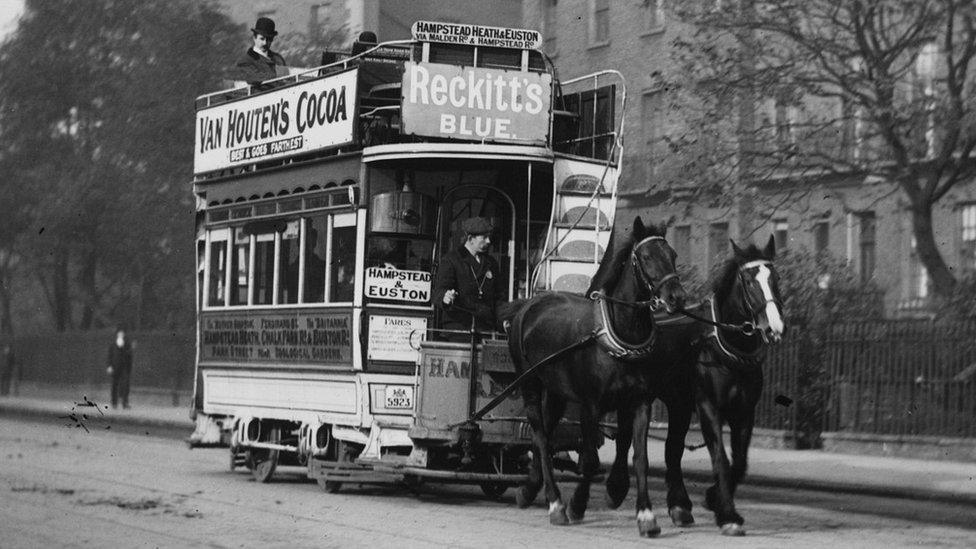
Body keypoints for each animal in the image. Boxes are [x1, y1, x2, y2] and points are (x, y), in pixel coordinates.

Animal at [504, 216, 688, 532]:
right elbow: (589, 461)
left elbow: (640, 458)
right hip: (530, 383)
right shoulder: (591, 406)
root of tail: (528, 305)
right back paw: (555, 502)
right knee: (540, 435)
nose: (675, 297)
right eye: (646, 256)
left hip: (556, 392)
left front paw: (646, 515)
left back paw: (530, 488)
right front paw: (577, 504)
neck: (621, 334)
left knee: (546, 438)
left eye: (673, 255)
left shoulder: (639, 403)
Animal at [612, 237, 788, 536]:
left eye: (775, 278)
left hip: (679, 403)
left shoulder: (745, 411)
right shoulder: (708, 406)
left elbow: (740, 462)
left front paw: (714, 499)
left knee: (672, 449)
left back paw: (679, 505)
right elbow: (721, 458)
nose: (773, 327)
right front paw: (728, 515)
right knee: (625, 438)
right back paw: (617, 486)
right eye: (748, 281)